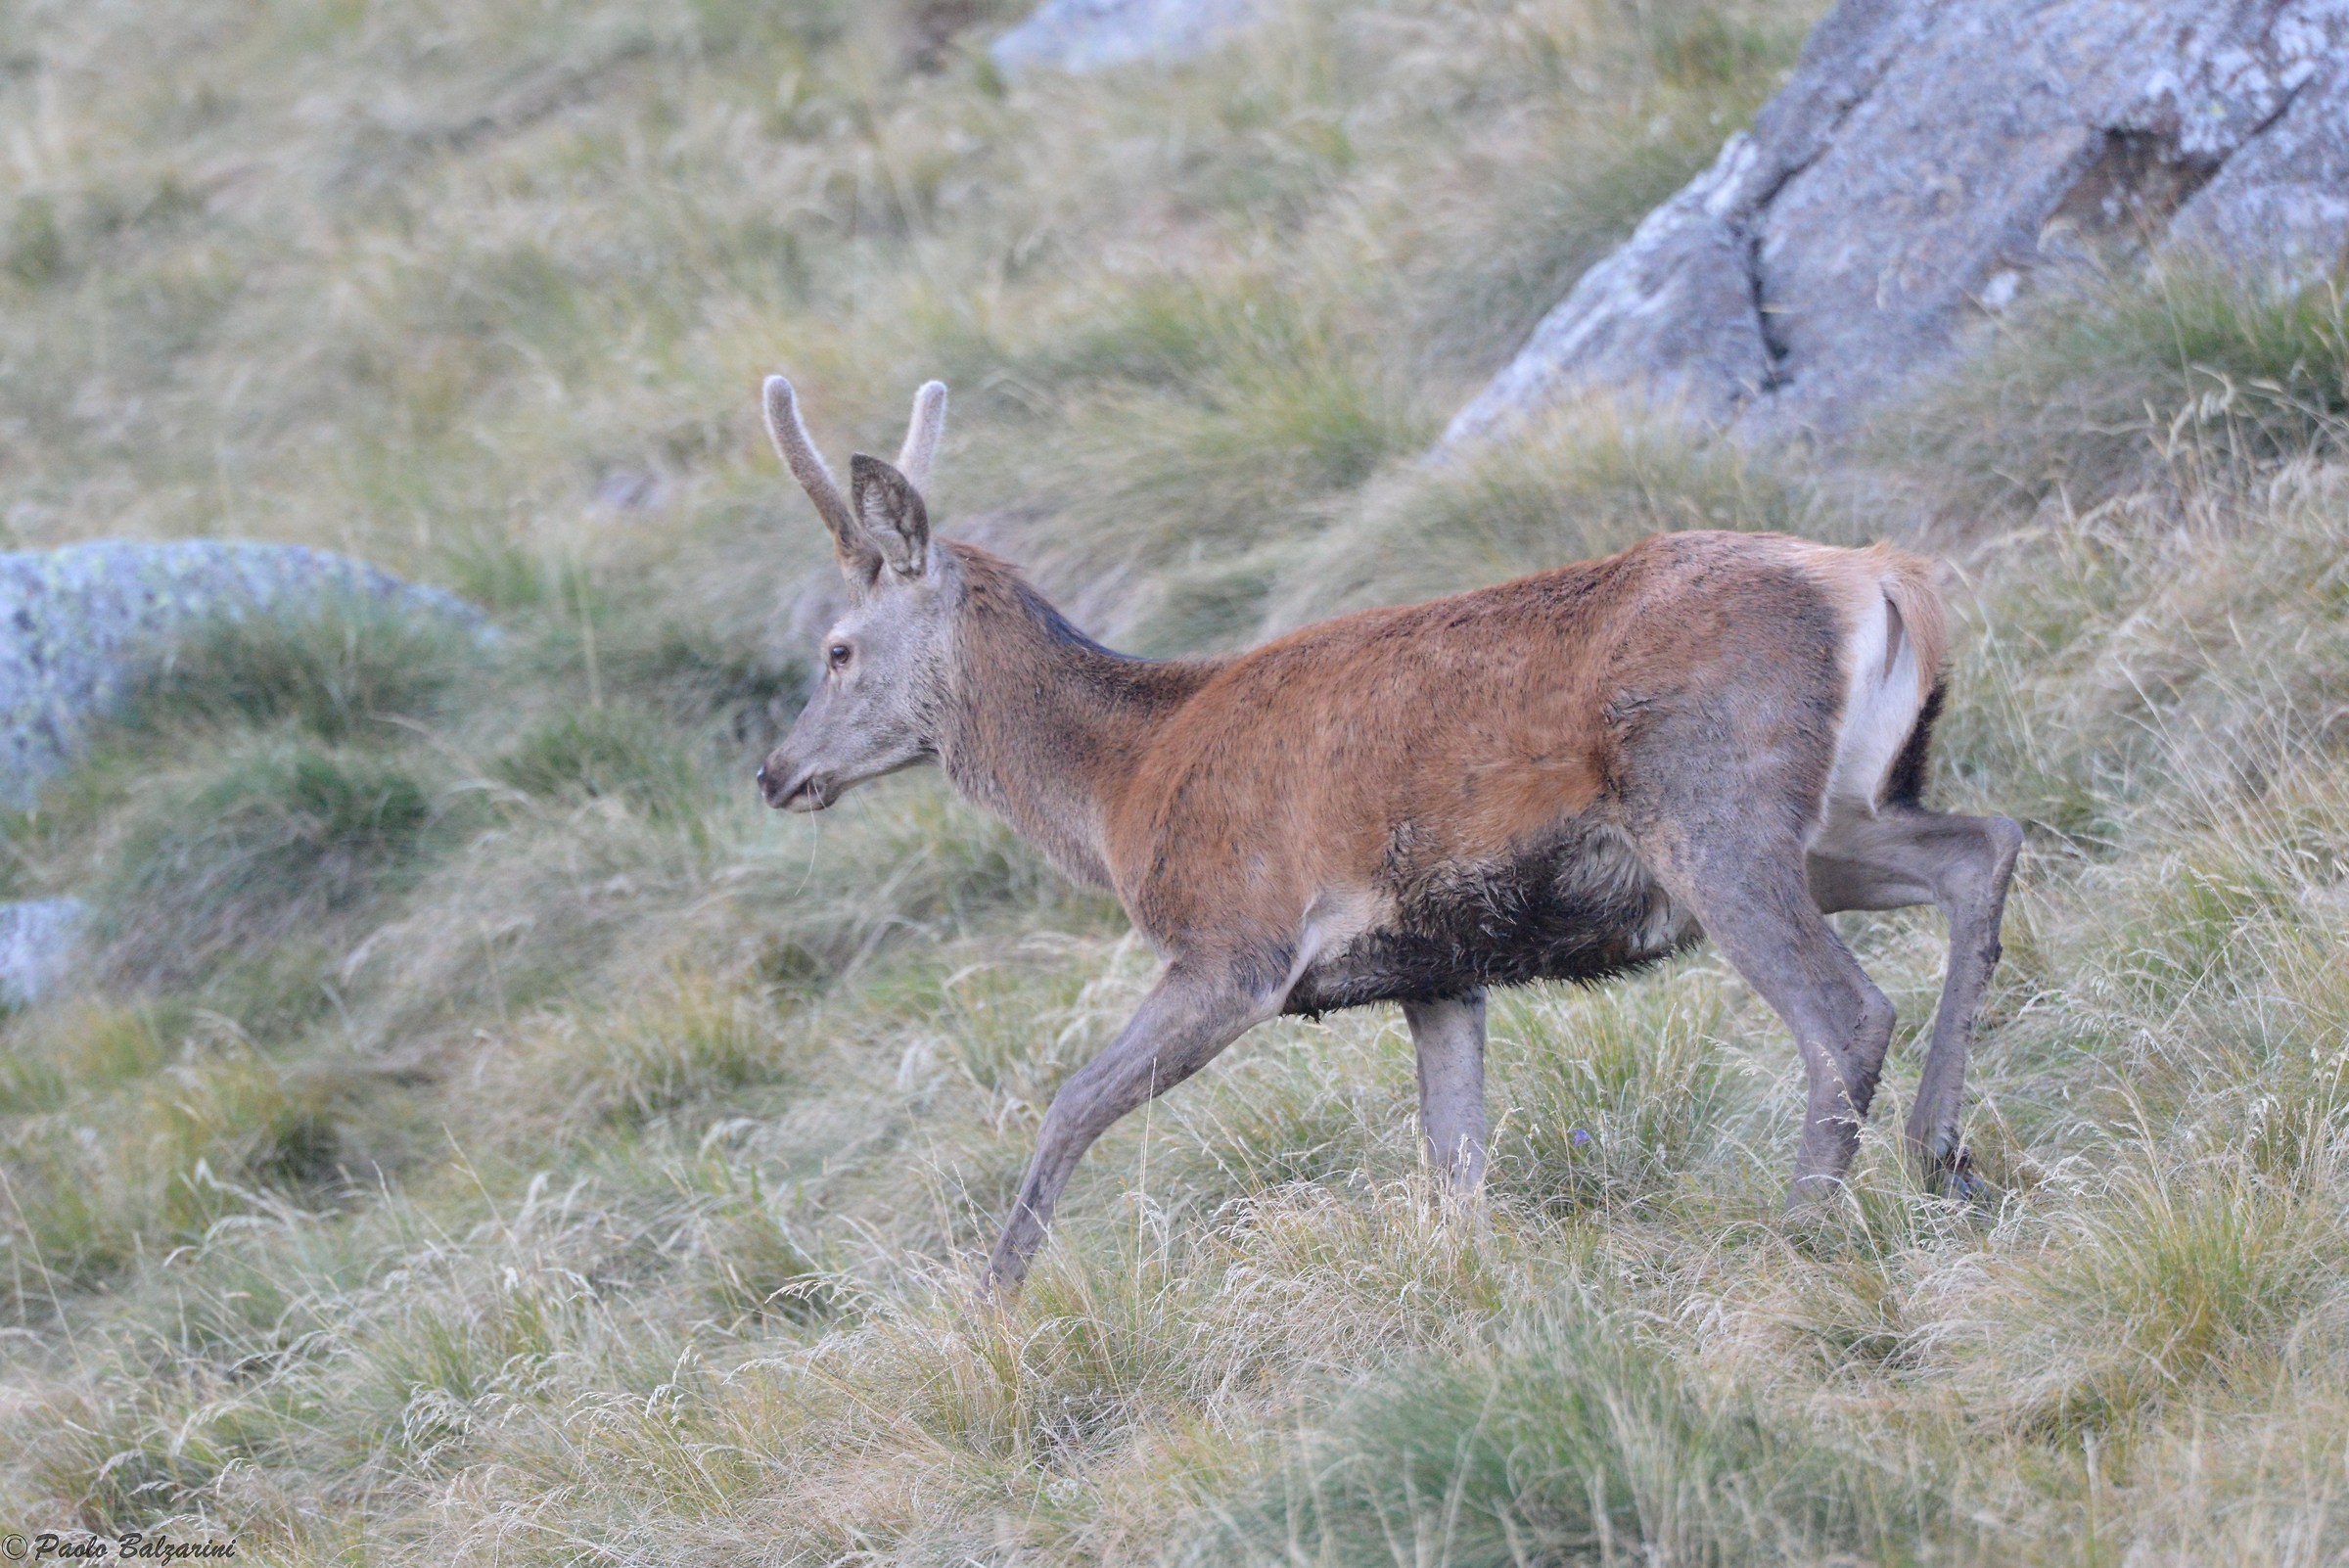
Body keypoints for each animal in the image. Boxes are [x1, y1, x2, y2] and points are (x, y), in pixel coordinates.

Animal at [754, 375, 2023, 1292]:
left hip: (1719, 807)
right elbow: (1456, 1170)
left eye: (837, 649)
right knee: (1984, 843)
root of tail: (1886, 582)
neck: (1123, 790)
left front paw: (994, 1303)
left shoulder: (1234, 944)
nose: (775, 772)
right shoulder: (1438, 970)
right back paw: (1939, 1156)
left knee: (1846, 1009)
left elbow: (1071, 1102)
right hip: (1836, 818)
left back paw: (1805, 1224)